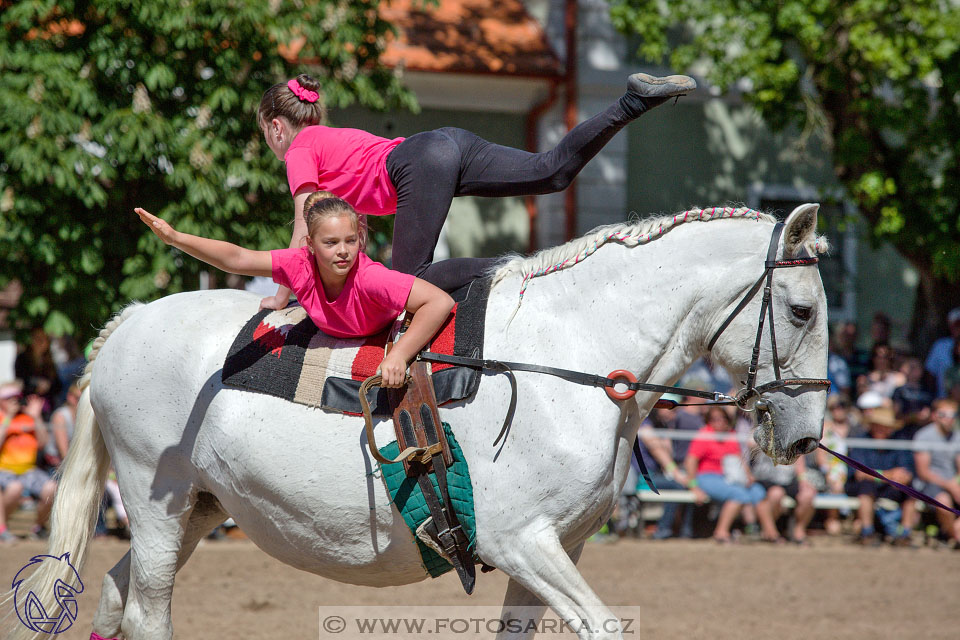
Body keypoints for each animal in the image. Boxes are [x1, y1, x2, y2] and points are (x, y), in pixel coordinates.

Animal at [7, 204, 828, 640]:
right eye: (801, 310)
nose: (804, 435)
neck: (568, 357)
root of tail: (129, 322)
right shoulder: (520, 541)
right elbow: (604, 625)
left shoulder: (555, 549)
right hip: (157, 501)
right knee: (147, 612)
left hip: (198, 511)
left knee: (117, 594)